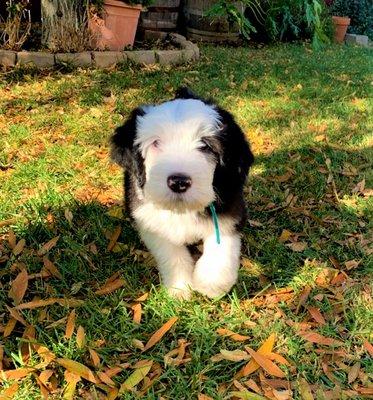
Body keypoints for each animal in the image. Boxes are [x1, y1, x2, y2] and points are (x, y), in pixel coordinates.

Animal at [108, 88, 253, 300]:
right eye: (156, 143)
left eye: (205, 146)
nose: (179, 182)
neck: (182, 209)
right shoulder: (149, 222)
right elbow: (172, 255)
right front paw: (179, 288)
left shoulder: (230, 209)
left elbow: (221, 248)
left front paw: (211, 284)